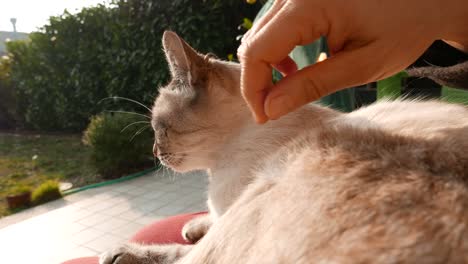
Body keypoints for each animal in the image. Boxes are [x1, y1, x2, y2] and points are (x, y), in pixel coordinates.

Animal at [100, 31, 468, 264]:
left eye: (159, 129)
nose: (154, 153)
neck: (218, 168)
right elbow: (205, 219)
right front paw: (193, 225)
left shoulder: (233, 207)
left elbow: (198, 239)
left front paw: (189, 231)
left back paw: (118, 254)